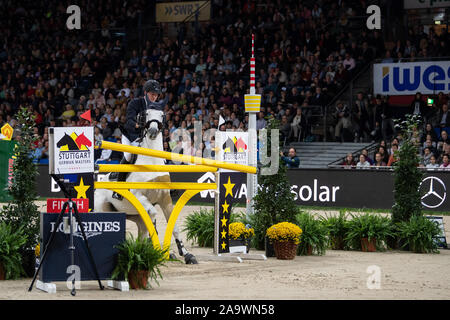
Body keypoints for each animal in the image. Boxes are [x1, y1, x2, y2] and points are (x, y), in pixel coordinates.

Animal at [94, 107, 198, 262]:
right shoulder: (139, 196)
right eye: (146, 114)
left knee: (141, 228)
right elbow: (153, 217)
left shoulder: (165, 199)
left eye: (162, 115)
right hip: (103, 209)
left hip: (133, 215)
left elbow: (174, 226)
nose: (153, 131)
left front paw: (186, 254)